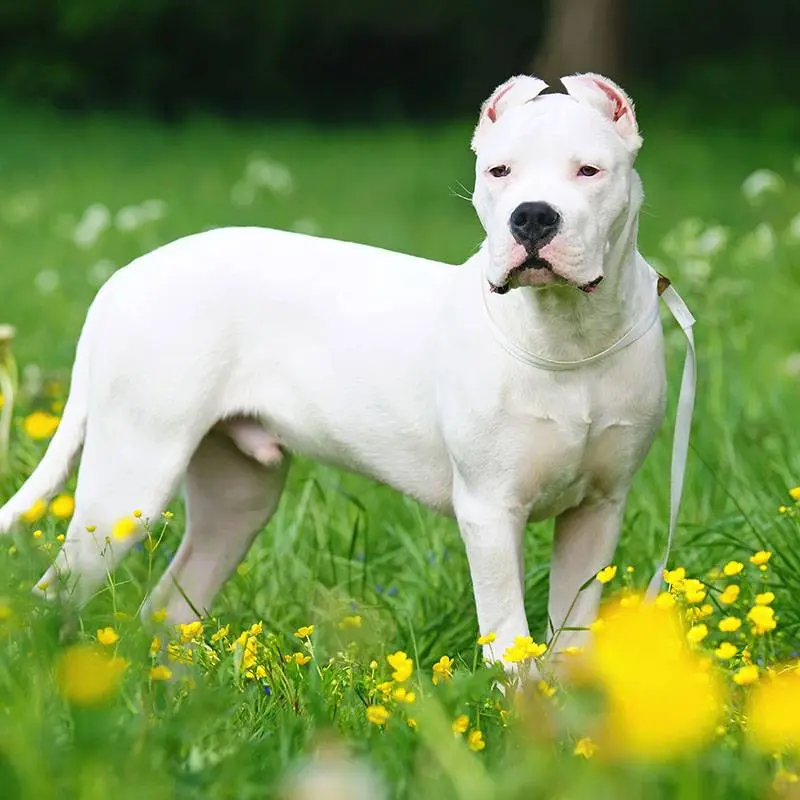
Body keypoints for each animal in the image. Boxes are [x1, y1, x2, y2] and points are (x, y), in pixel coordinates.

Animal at [1, 73, 668, 668]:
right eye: (499, 172)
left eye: (589, 172)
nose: (531, 217)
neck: (569, 337)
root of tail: (121, 278)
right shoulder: (491, 512)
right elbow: (510, 649)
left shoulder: (596, 514)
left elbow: (569, 645)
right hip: (129, 483)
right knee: (52, 600)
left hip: (237, 497)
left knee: (166, 611)